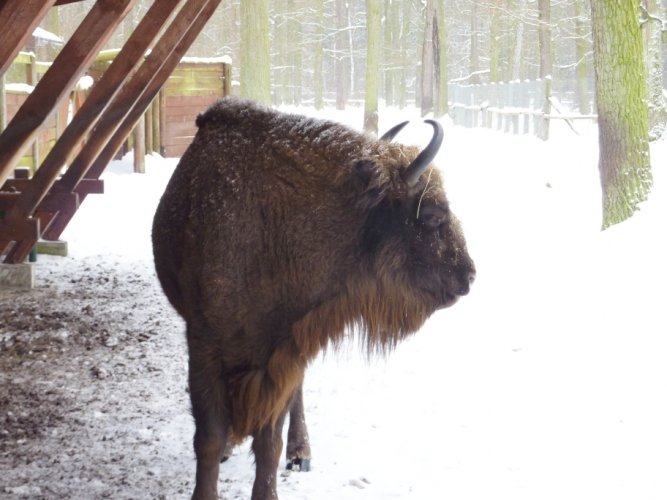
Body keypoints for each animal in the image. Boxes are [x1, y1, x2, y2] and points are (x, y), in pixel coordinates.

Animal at [151, 95, 474, 498]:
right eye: (432, 214)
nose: (468, 274)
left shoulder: (282, 352)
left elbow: (268, 439)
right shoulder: (204, 344)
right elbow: (209, 438)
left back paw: (300, 452)